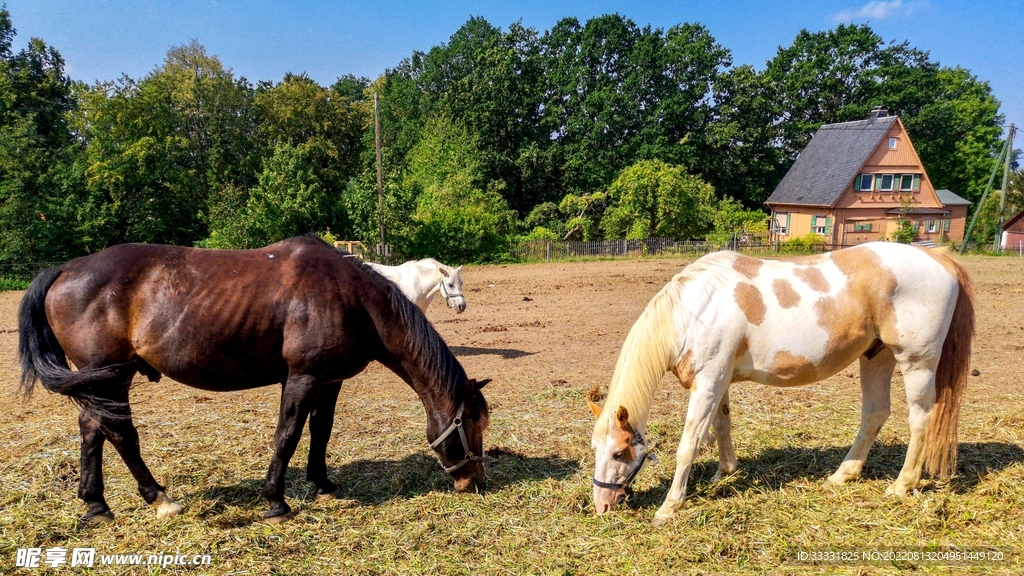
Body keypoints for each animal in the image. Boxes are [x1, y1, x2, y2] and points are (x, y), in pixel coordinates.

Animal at [18, 236, 490, 525]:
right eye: (470, 425)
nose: (476, 483)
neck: (353, 299)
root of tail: (66, 269)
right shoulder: (301, 378)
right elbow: (288, 435)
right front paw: (275, 501)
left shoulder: (329, 380)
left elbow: (321, 431)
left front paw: (323, 484)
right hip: (111, 378)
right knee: (119, 433)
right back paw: (159, 499)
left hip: (100, 383)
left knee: (92, 429)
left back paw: (96, 505)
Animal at [587, 242, 974, 525]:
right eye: (595, 450)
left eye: (619, 452)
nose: (601, 505)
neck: (696, 310)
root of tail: (938, 256)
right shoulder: (719, 381)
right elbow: (722, 426)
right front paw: (725, 472)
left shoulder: (708, 382)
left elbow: (689, 444)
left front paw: (670, 506)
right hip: (876, 357)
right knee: (875, 414)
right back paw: (843, 475)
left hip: (916, 362)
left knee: (920, 418)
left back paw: (902, 485)